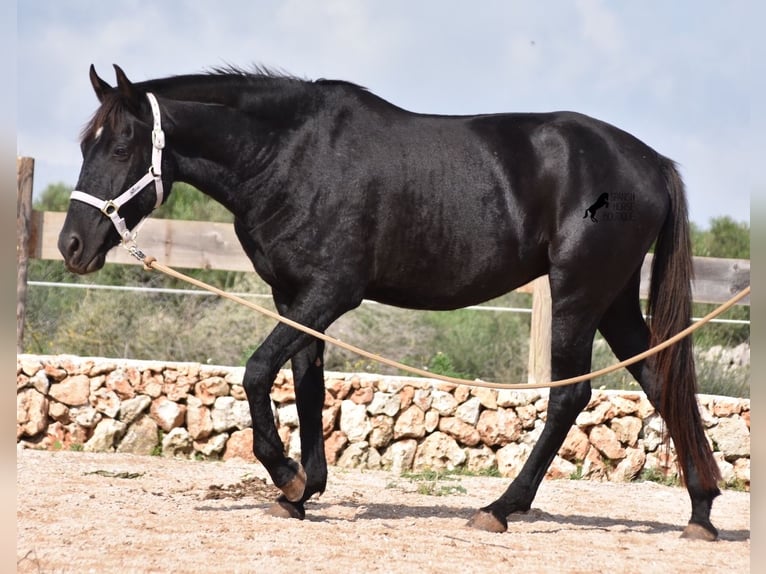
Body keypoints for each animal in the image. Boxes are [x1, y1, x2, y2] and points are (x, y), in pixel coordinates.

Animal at [57, 65, 724, 544]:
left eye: (122, 145)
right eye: (86, 144)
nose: (72, 245)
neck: (291, 155)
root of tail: (653, 164)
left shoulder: (329, 293)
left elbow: (256, 373)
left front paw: (287, 476)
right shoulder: (294, 297)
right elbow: (307, 383)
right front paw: (303, 491)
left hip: (578, 293)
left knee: (570, 396)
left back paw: (499, 508)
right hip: (613, 301)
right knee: (661, 380)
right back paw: (701, 510)